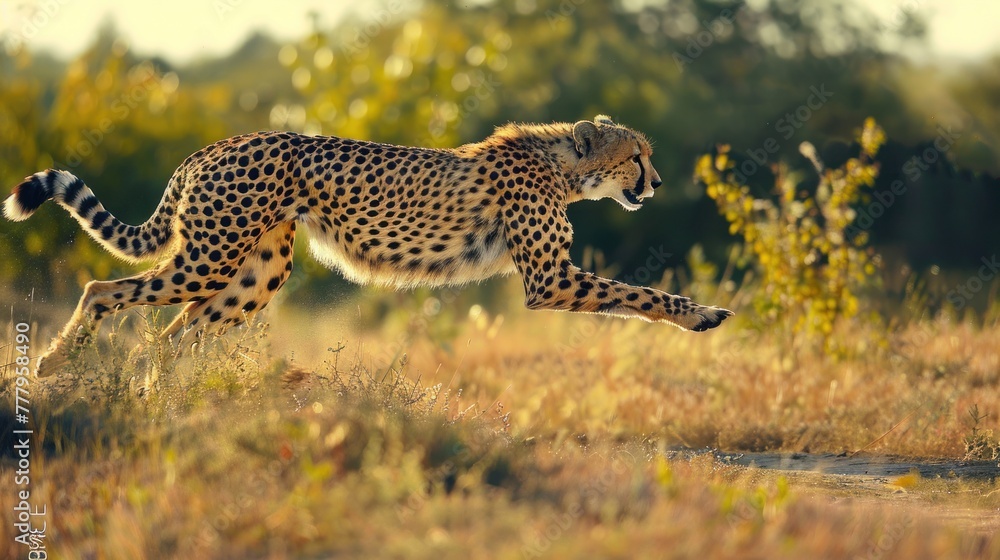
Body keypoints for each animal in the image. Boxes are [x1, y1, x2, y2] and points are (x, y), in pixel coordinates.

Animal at [3, 114, 733, 377]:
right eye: (636, 155)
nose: (657, 182)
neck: (561, 165)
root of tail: (217, 143)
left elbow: (630, 292)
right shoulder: (551, 278)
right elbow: (637, 292)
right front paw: (701, 315)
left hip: (257, 271)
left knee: (170, 332)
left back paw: (165, 396)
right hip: (211, 256)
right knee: (105, 289)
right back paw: (53, 365)